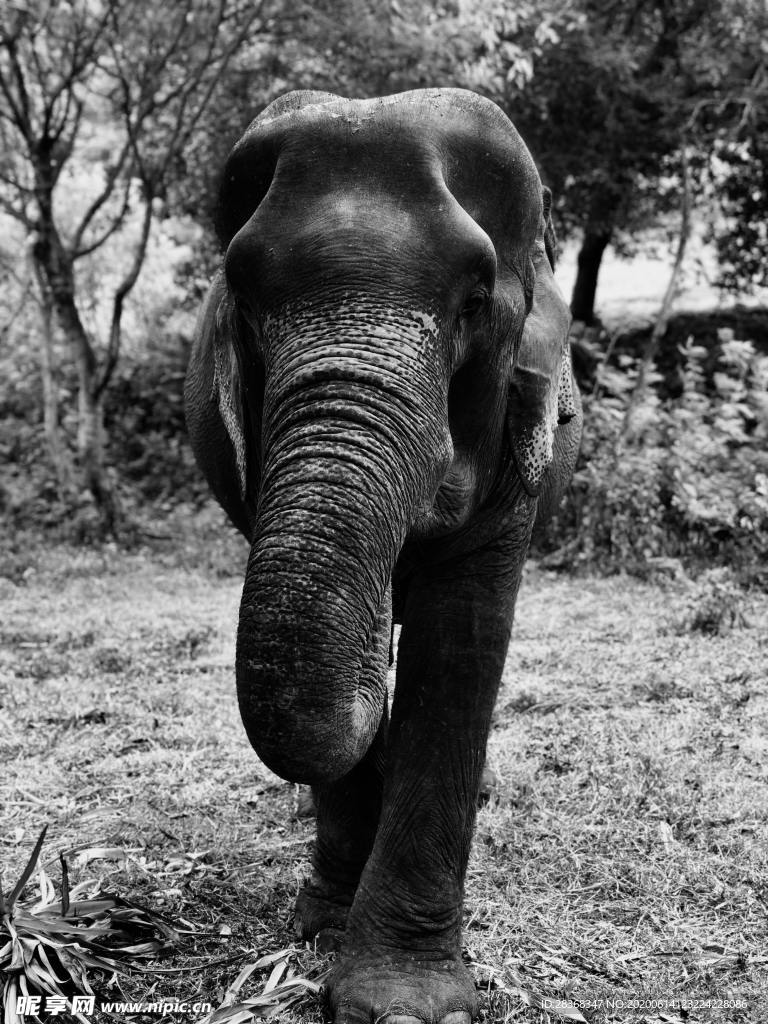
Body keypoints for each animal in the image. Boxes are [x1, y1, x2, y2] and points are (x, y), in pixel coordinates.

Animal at [185, 88, 582, 1024]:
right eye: (242, 297)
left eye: (474, 301)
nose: (376, 634)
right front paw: (328, 932)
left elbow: (460, 643)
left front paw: (404, 1003)